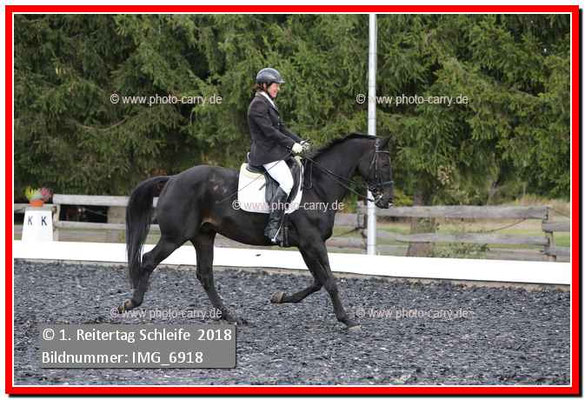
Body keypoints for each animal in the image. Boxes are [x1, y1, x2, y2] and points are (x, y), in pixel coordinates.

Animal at [119, 133, 394, 329]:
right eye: (384, 162)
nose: (388, 200)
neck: (319, 187)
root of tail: (173, 179)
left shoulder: (306, 245)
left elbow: (318, 281)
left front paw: (280, 297)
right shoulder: (312, 242)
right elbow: (330, 281)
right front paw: (347, 319)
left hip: (203, 236)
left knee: (205, 275)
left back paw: (232, 317)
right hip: (174, 237)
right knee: (148, 260)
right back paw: (130, 303)